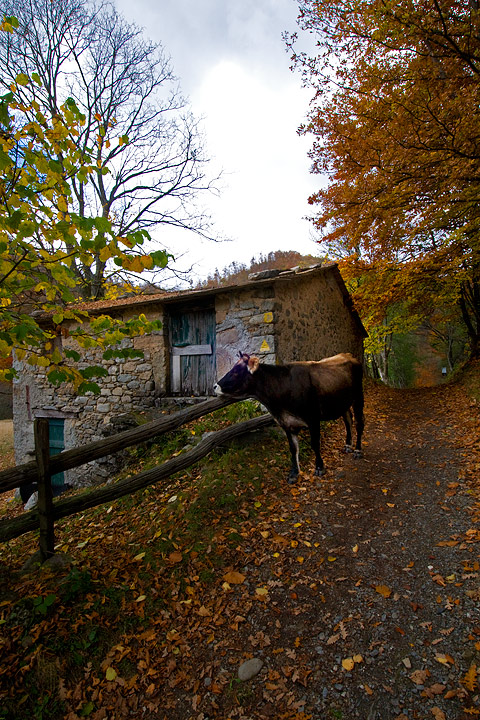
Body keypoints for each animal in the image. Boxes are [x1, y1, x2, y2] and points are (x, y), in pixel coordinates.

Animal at [214, 352, 364, 480]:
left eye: (235, 372)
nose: (215, 386)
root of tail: (347, 355)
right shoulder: (286, 423)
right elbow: (293, 448)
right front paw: (294, 473)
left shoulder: (313, 418)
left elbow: (315, 444)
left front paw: (319, 467)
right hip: (342, 402)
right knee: (348, 420)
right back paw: (348, 445)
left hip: (358, 396)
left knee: (358, 423)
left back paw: (357, 450)